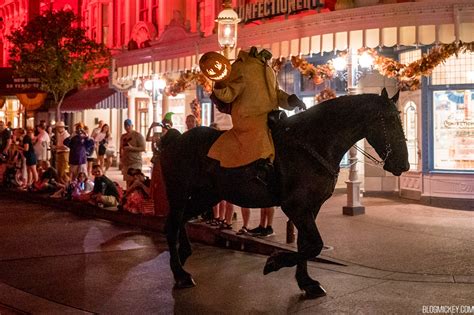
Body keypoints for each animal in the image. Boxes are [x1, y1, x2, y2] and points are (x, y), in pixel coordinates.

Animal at [161, 89, 410, 298]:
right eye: (389, 120)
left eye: (399, 118)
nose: (404, 164)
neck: (313, 143)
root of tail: (175, 138)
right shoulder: (295, 206)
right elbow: (314, 245)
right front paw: (275, 261)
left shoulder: (310, 207)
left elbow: (305, 244)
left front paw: (306, 282)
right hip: (180, 192)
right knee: (172, 224)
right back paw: (180, 274)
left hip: (207, 196)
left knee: (181, 220)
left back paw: (184, 254)